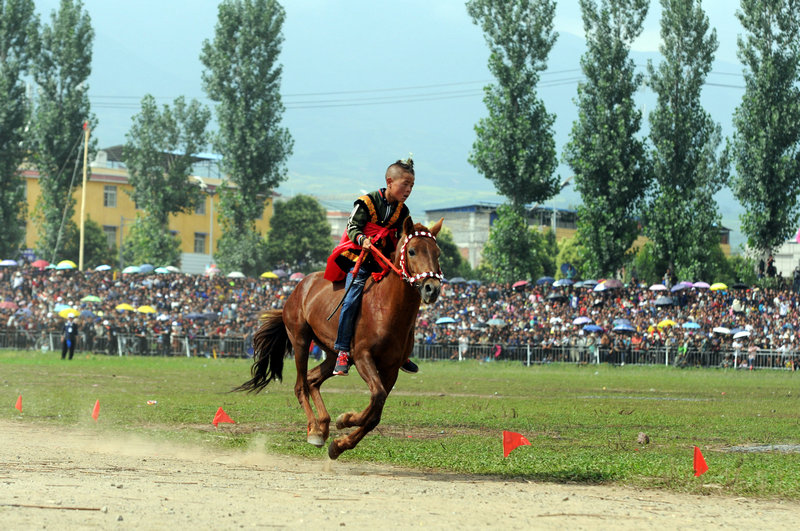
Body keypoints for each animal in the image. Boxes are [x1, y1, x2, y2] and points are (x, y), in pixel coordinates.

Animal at [234, 218, 444, 460]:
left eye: (437, 252)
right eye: (412, 251)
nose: (431, 288)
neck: (386, 309)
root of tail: (300, 287)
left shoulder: (391, 368)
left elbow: (376, 411)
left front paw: (340, 442)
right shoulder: (363, 357)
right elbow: (377, 397)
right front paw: (345, 419)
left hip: (334, 354)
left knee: (313, 379)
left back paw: (323, 425)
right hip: (300, 340)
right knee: (300, 385)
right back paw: (315, 430)